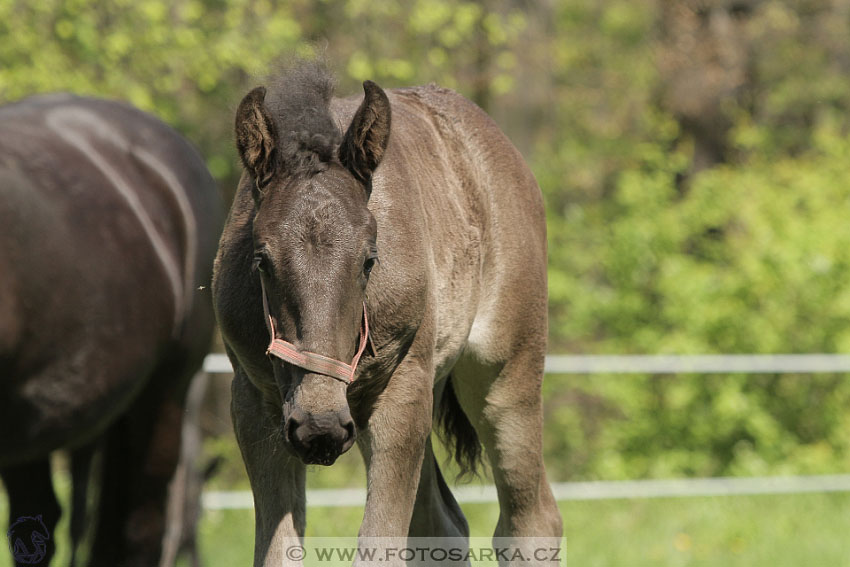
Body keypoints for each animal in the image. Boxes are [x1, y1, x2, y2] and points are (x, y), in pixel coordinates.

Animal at [212, 64, 560, 564]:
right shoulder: (255, 404)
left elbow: (380, 548)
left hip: (504, 377)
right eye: (262, 261)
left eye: (369, 260)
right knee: (442, 527)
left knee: (530, 522)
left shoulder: (403, 389)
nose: (319, 427)